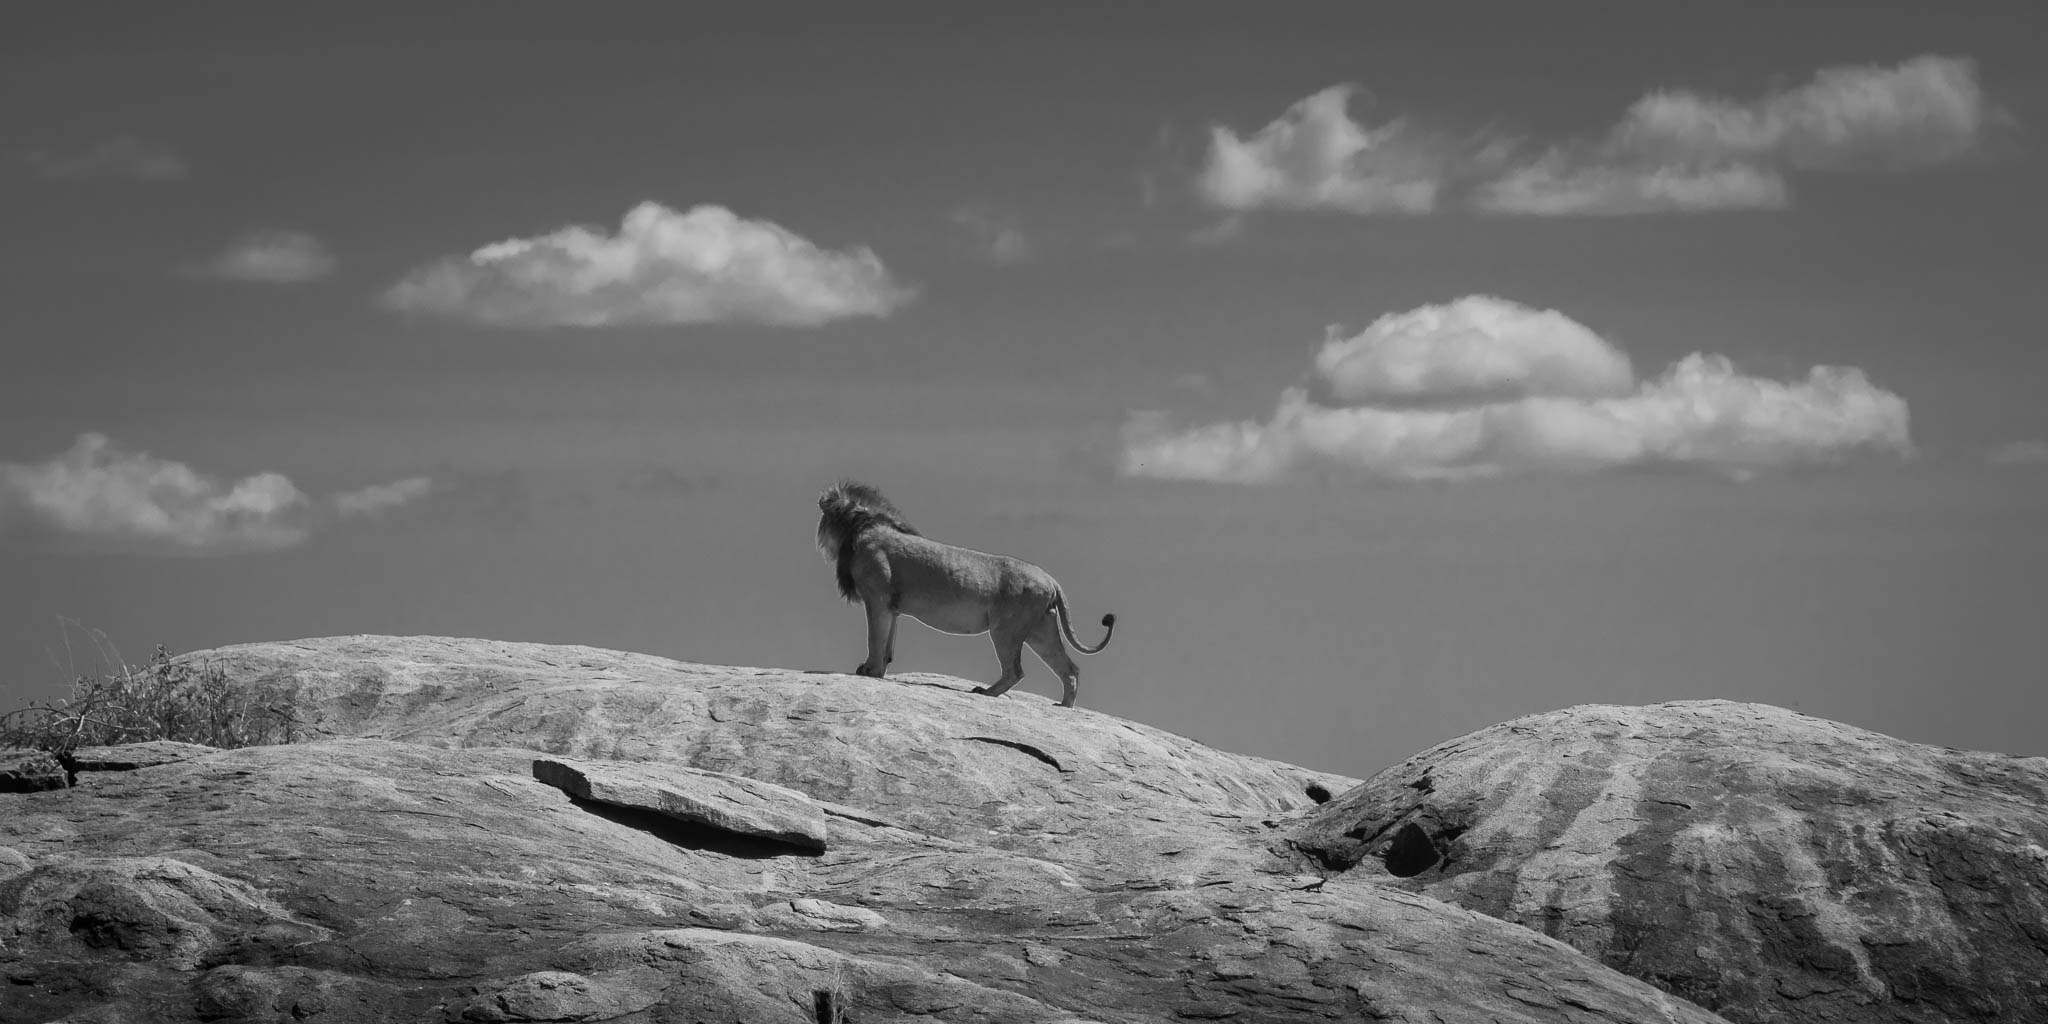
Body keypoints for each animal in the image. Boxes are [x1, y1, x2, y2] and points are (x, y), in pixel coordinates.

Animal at [811, 481, 1114, 708]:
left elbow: (875, 639)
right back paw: (1064, 708)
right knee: (1070, 669)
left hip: (1006, 629)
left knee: (1015, 670)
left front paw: (869, 671)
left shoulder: (878, 600)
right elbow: (887, 645)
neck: (862, 525)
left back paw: (986, 692)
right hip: (1041, 631)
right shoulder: (892, 608)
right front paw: (880, 672)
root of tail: (1051, 580)